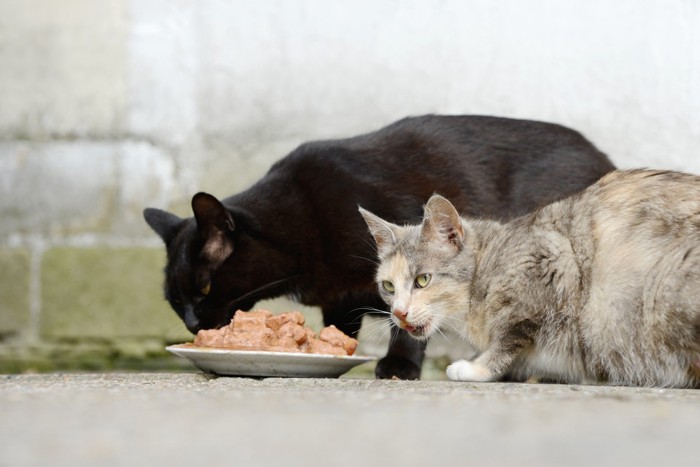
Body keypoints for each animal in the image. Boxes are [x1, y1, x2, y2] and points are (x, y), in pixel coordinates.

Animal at [145, 113, 616, 380]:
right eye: (174, 301)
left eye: (205, 288)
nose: (192, 324)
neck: (302, 219)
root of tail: (605, 159)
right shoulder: (339, 300)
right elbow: (343, 331)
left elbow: (410, 322)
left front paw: (398, 368)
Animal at [358, 170, 700, 390]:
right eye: (388, 286)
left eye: (423, 279)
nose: (398, 312)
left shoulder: (549, 263)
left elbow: (509, 337)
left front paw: (477, 367)